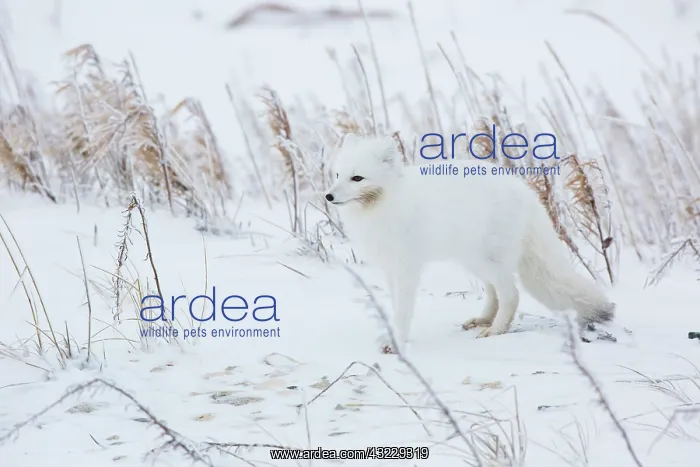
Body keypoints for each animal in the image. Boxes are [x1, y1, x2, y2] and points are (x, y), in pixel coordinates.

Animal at [325, 133, 616, 354]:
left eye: (357, 178)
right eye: (337, 175)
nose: (328, 196)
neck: (384, 204)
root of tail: (525, 192)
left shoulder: (408, 268)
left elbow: (404, 311)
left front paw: (396, 342)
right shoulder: (389, 268)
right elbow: (395, 306)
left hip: (485, 260)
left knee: (511, 294)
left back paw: (495, 330)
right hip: (472, 260)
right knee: (494, 293)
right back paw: (483, 320)